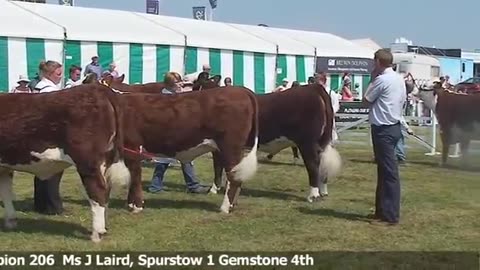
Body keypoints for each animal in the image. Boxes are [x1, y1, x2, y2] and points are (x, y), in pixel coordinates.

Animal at [0, 84, 130, 243]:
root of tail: (99, 88)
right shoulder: (4, 168)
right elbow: (6, 192)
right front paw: (10, 221)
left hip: (88, 162)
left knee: (98, 191)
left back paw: (96, 234)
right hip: (105, 161)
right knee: (106, 192)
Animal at [100, 79, 260, 213]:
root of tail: (241, 90)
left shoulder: (132, 147)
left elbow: (135, 176)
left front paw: (136, 206)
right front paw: (129, 204)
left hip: (230, 147)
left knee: (234, 177)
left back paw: (225, 208)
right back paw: (233, 205)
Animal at [197, 77, 344, 201]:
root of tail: (315, 88)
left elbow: (217, 167)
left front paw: (213, 189)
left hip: (307, 143)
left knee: (313, 164)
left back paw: (313, 195)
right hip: (322, 141)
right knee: (324, 165)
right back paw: (323, 192)